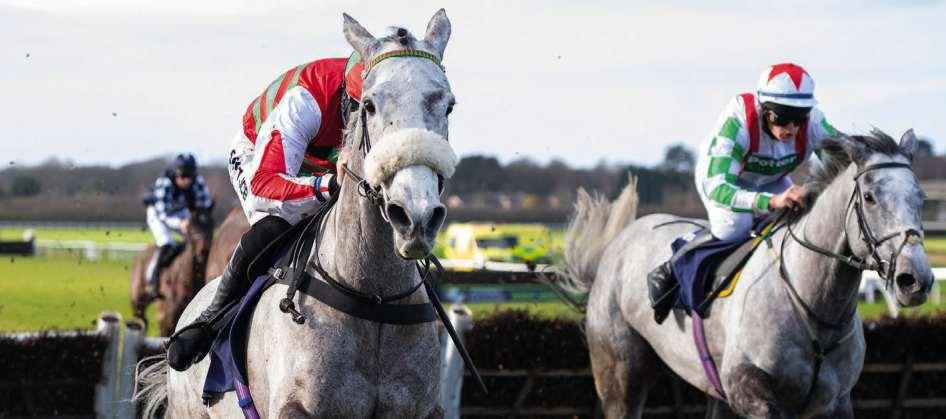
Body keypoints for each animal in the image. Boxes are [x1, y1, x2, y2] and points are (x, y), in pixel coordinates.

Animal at [554, 130, 933, 418]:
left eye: (921, 198)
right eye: (869, 197)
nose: (915, 280)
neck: (815, 310)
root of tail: (617, 243)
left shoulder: (835, 402)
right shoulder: (750, 392)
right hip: (619, 375)